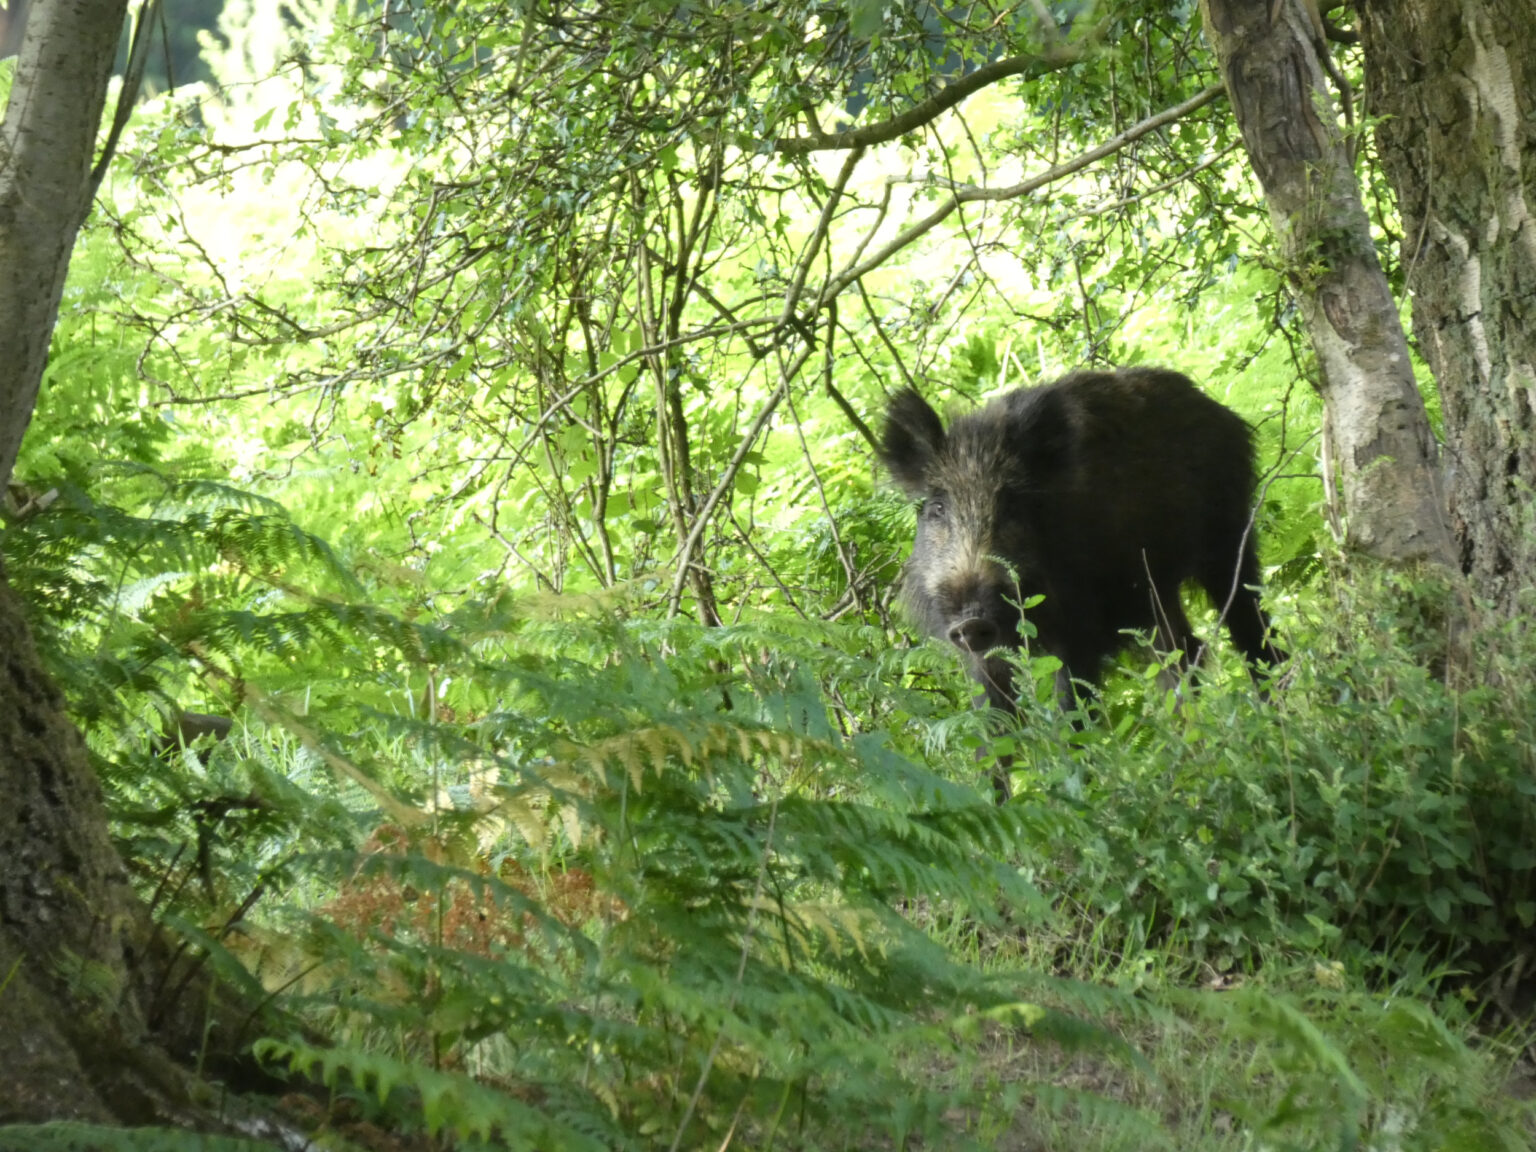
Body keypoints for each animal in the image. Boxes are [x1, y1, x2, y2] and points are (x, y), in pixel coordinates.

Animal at [880, 367, 1284, 798]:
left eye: (1011, 506)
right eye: (937, 508)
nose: (971, 622)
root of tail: (1217, 409)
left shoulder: (1080, 628)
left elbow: (1073, 717)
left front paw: (1077, 793)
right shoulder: (985, 657)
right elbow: (992, 734)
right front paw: (992, 804)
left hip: (1229, 540)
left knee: (1254, 635)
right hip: (1155, 592)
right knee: (1183, 655)